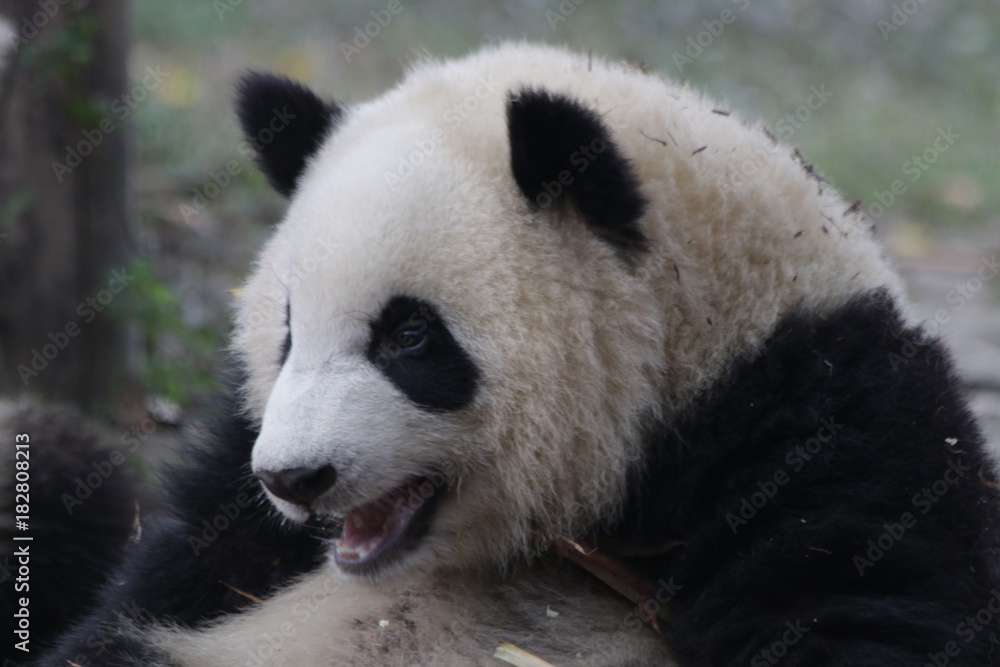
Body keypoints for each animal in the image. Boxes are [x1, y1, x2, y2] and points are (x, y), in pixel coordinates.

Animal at [36, 42, 1000, 666]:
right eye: (287, 332)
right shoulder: (226, 514)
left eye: (409, 335)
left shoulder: (824, 418)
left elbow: (866, 609)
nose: (294, 478)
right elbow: (147, 594)